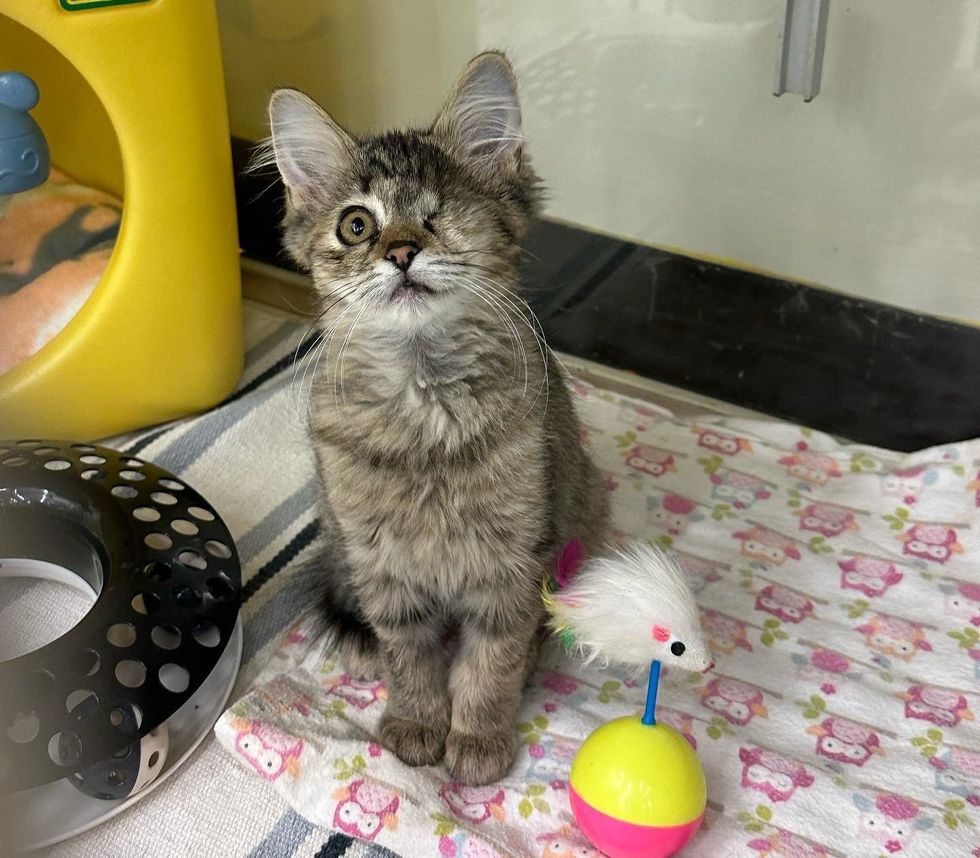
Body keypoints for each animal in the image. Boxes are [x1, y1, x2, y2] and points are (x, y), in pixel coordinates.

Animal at [264, 48, 608, 784]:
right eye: (357, 225)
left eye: (437, 216)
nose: (400, 252)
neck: (426, 404)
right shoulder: (385, 569)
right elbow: (412, 660)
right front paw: (418, 724)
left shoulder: (511, 563)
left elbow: (490, 661)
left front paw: (477, 737)